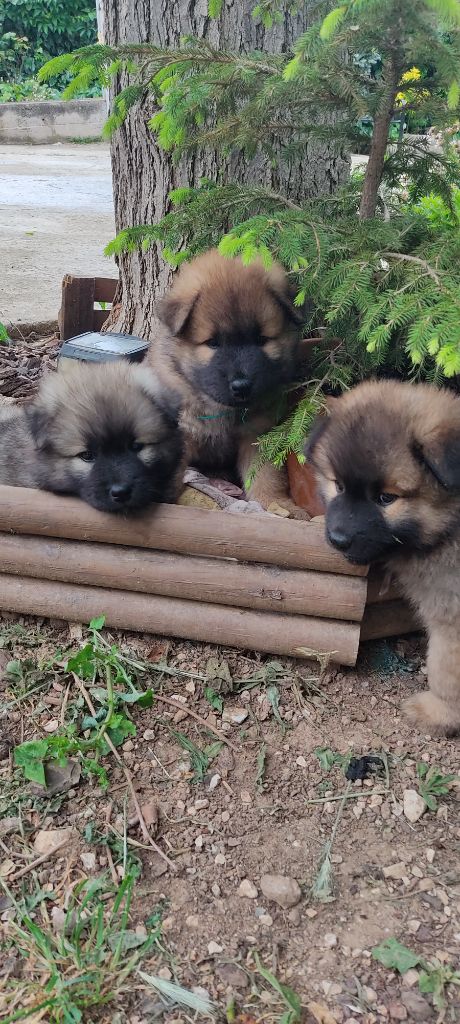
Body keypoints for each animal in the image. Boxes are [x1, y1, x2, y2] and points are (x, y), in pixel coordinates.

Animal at [150, 248, 307, 520]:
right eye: (213, 343)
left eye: (261, 339)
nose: (242, 385)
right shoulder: (181, 431)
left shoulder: (258, 433)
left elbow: (265, 475)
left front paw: (277, 504)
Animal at [305, 380, 460, 733]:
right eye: (338, 485)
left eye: (386, 498)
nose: (338, 539)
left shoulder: (452, 615)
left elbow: (446, 669)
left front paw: (439, 713)